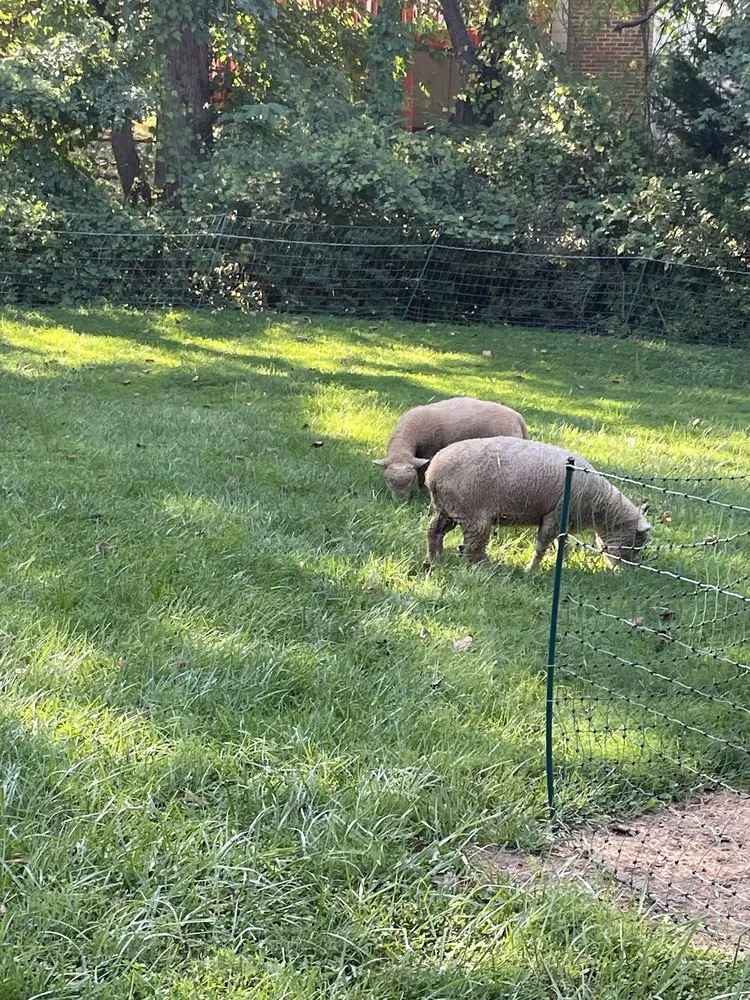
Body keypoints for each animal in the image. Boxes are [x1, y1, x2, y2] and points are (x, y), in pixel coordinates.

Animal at [374, 397, 529, 499]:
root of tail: (518, 418)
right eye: (387, 480)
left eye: (410, 481)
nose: (400, 501)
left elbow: (422, 474)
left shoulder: (428, 454)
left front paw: (424, 493)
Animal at [425, 437, 651, 571]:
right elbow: (542, 545)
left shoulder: (563, 521)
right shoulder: (554, 515)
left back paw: (435, 558)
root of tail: (432, 473)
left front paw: (562, 564)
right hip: (473, 513)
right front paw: (531, 570)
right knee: (473, 547)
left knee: (434, 531)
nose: (624, 573)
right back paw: (485, 568)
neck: (600, 505)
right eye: (637, 543)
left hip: (449, 508)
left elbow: (562, 545)